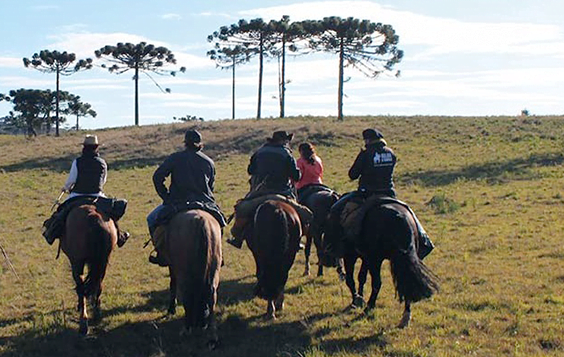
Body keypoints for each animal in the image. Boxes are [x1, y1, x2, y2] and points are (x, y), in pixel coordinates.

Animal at [61, 203, 117, 334]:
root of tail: (94, 217)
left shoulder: (75, 261)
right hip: (103, 262)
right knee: (98, 284)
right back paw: (96, 313)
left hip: (78, 262)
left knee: (81, 287)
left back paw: (83, 321)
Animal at [164, 209, 221, 344]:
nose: (200, 324)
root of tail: (201, 220)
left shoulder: (172, 265)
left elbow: (172, 283)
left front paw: (171, 308)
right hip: (214, 269)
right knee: (212, 296)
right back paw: (212, 335)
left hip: (184, 274)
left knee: (187, 295)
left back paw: (187, 328)